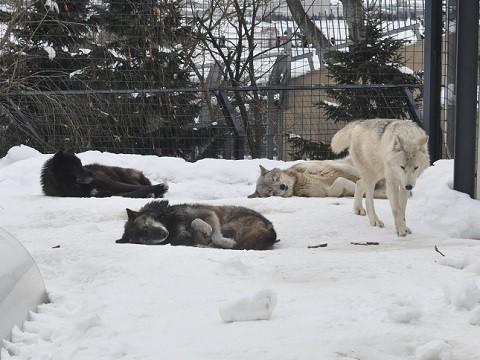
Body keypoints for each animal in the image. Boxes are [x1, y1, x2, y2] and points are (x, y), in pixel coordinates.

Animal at [116, 200, 278, 250]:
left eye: (146, 228)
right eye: (145, 238)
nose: (164, 234)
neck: (172, 226)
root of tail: (270, 228)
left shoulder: (209, 214)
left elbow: (201, 224)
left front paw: (207, 229)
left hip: (228, 225)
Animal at [248, 156, 386, 198]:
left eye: (274, 179)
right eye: (270, 192)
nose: (283, 187)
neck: (299, 179)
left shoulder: (328, 163)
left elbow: (348, 168)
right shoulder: (329, 192)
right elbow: (341, 180)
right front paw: (358, 188)